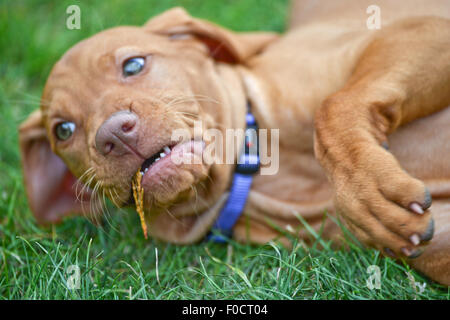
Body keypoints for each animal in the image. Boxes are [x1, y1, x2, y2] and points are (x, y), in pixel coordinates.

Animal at [18, 0, 450, 284]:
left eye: (134, 65)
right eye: (63, 130)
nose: (111, 134)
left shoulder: (420, 30)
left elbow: (332, 108)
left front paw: (368, 194)